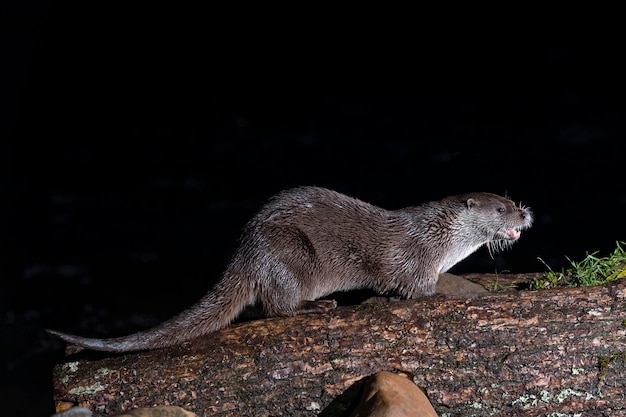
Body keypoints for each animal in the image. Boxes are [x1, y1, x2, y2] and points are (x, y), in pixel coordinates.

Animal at [46, 185, 528, 352]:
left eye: (512, 200)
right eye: (500, 207)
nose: (525, 214)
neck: (439, 236)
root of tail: (245, 252)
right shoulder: (418, 259)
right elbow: (419, 292)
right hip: (288, 253)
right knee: (276, 306)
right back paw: (318, 307)